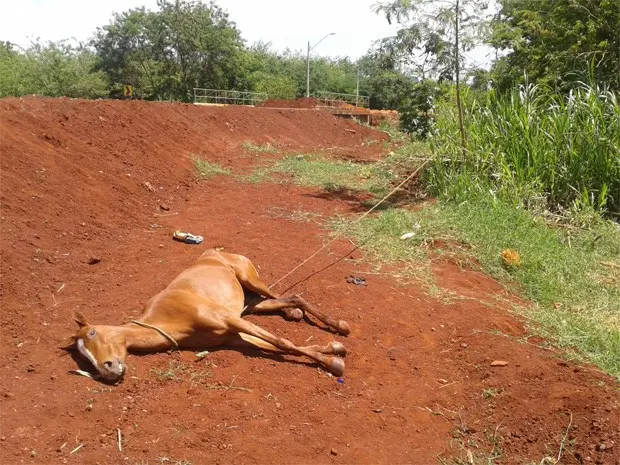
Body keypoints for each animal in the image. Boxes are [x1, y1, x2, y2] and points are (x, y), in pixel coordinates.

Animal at [69, 250, 348, 380]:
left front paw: (333, 362)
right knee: (289, 298)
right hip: (250, 303)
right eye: (82, 356)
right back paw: (297, 312)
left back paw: (339, 325)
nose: (107, 371)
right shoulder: (233, 335)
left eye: (93, 332)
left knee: (286, 294)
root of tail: (215, 251)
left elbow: (283, 343)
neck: (170, 318)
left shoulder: (230, 320)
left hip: (251, 280)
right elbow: (282, 346)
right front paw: (333, 352)